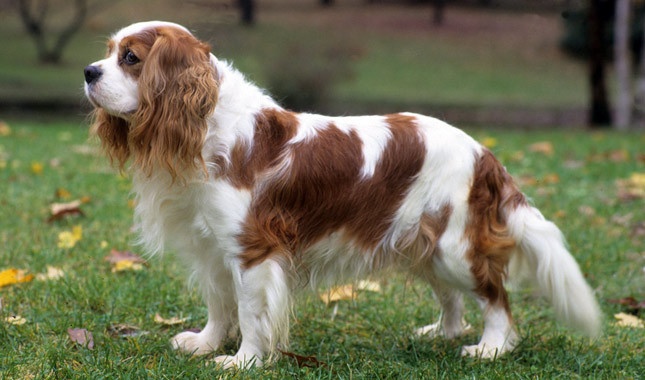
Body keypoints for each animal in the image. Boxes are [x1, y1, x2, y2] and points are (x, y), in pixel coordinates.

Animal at [83, 20, 600, 368]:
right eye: (108, 52)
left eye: (130, 58)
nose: (88, 71)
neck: (208, 127)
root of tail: (486, 154)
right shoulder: (211, 248)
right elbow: (219, 303)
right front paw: (206, 343)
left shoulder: (253, 249)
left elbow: (250, 312)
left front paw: (243, 361)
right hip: (423, 245)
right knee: (452, 298)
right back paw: (441, 333)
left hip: (454, 247)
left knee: (495, 297)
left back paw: (491, 347)